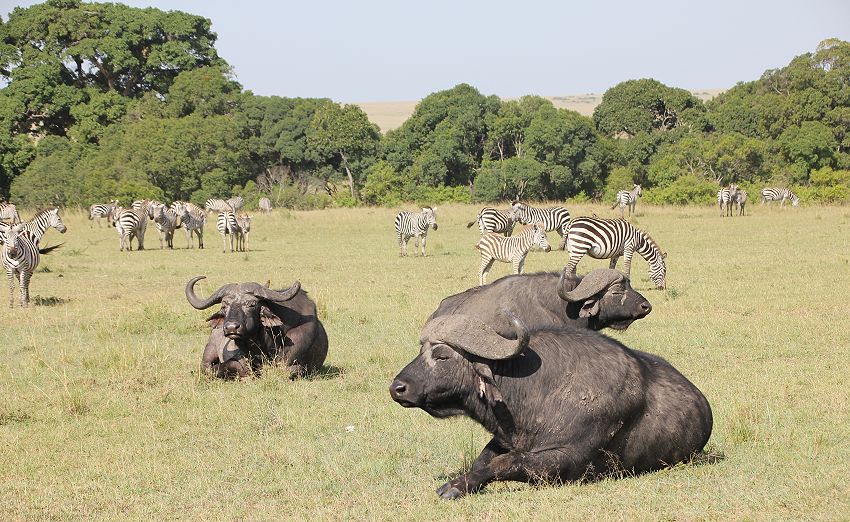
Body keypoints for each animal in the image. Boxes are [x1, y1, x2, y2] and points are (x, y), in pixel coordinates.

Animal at [388, 310, 712, 498]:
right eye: (422, 350)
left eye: (442, 355)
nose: (397, 388)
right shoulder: (505, 438)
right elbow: (484, 459)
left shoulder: (565, 461)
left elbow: (506, 463)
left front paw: (454, 486)